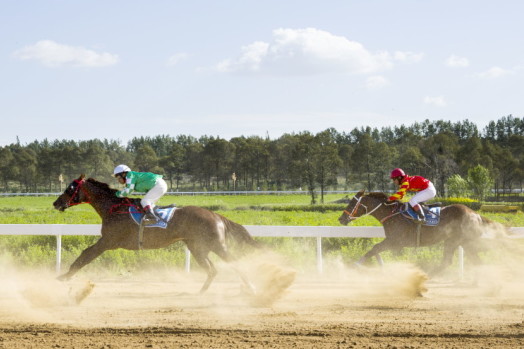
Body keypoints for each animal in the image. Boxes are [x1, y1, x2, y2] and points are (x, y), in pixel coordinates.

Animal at [53, 173, 262, 290]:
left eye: (70, 187)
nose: (56, 203)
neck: (113, 208)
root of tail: (215, 215)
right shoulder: (107, 241)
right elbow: (85, 255)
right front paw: (64, 276)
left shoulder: (108, 241)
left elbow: (85, 256)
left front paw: (63, 276)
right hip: (198, 247)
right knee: (212, 270)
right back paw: (201, 292)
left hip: (216, 245)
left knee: (234, 263)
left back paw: (252, 287)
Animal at [336, 190, 508, 274]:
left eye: (352, 203)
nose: (341, 218)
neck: (392, 214)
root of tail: (475, 214)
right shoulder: (396, 245)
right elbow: (378, 251)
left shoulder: (395, 242)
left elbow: (373, 249)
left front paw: (355, 265)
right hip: (461, 242)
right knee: (476, 262)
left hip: (455, 240)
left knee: (449, 262)